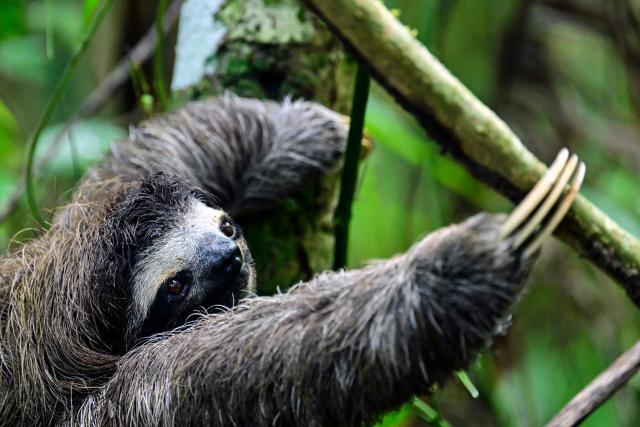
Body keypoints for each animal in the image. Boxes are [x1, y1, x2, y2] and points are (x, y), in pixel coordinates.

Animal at [0, 95, 584, 426]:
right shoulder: (131, 402)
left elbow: (130, 165)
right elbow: (261, 363)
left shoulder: (75, 234)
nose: (229, 256)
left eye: (225, 226)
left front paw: (306, 128)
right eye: (174, 285)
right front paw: (457, 267)